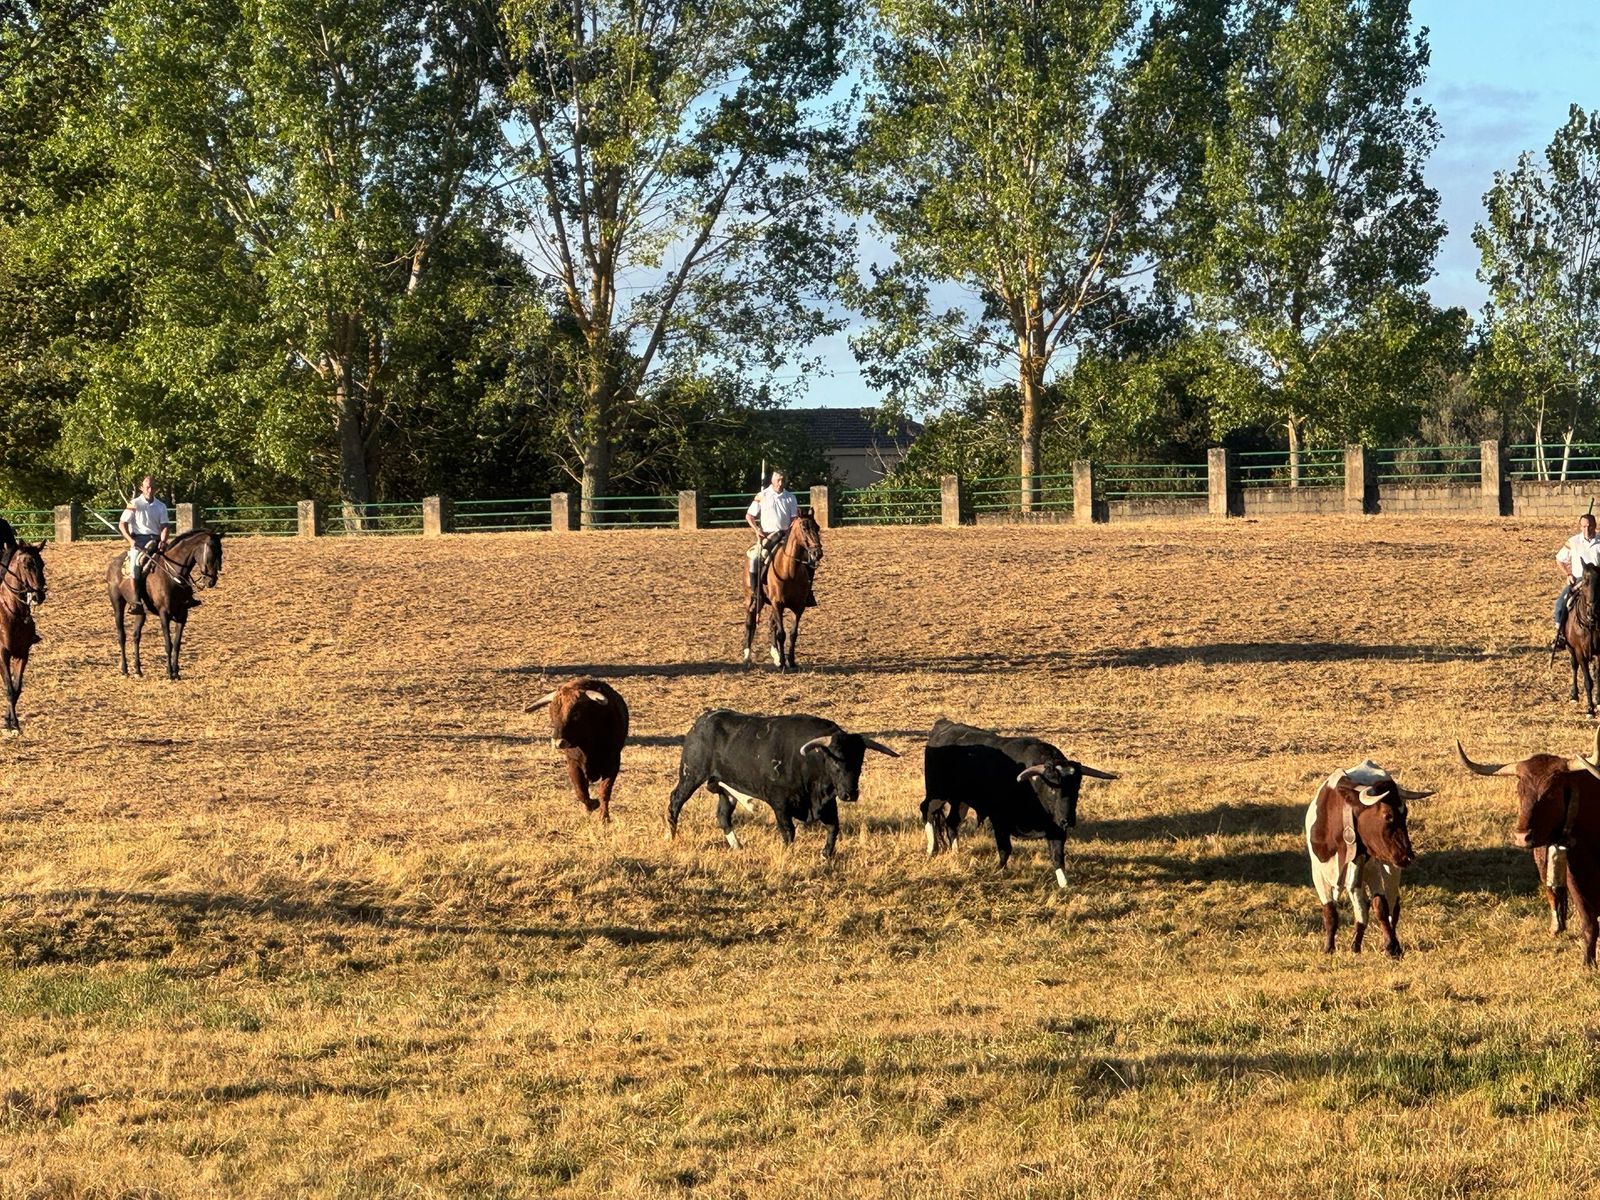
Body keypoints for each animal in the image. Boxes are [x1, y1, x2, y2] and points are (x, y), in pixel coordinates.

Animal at [106, 528, 224, 680]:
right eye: (210, 553)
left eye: (221, 553)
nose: (211, 581)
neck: (173, 574)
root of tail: (114, 563)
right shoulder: (164, 613)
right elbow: (168, 643)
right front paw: (169, 673)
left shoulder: (182, 615)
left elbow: (177, 644)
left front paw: (176, 672)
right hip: (117, 604)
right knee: (122, 636)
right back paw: (124, 670)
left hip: (141, 613)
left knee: (136, 635)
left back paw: (138, 670)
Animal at [742, 514, 822, 672]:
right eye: (804, 528)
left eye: (817, 527)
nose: (817, 553)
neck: (789, 571)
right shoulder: (778, 603)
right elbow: (781, 633)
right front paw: (783, 664)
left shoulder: (799, 607)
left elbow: (792, 634)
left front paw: (790, 661)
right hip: (754, 598)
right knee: (750, 620)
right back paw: (747, 656)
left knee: (771, 623)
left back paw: (776, 655)